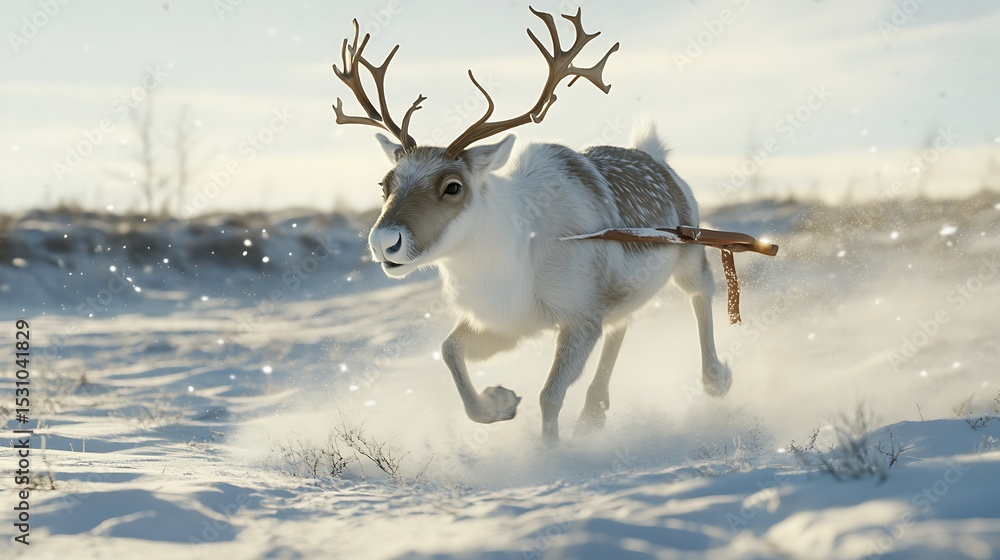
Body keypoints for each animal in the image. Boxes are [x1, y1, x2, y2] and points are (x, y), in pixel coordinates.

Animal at [332, 7, 732, 444]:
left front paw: (549, 453)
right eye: (384, 184)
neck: (516, 255)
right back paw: (593, 412)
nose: (384, 241)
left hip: (689, 253)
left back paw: (716, 378)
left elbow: (549, 395)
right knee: (623, 322)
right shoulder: (507, 323)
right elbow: (449, 351)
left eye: (453, 186)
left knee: (701, 292)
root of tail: (655, 156)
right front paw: (500, 401)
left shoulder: (581, 317)